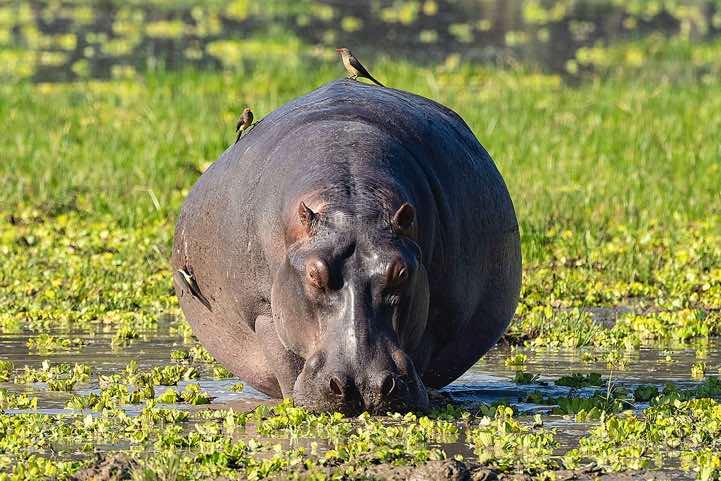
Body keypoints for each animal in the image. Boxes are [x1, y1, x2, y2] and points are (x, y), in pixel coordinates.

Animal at [171, 79, 521, 414]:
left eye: (401, 272)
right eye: (314, 274)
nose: (363, 384)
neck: (353, 202)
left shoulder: (436, 313)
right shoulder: (261, 311)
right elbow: (285, 362)